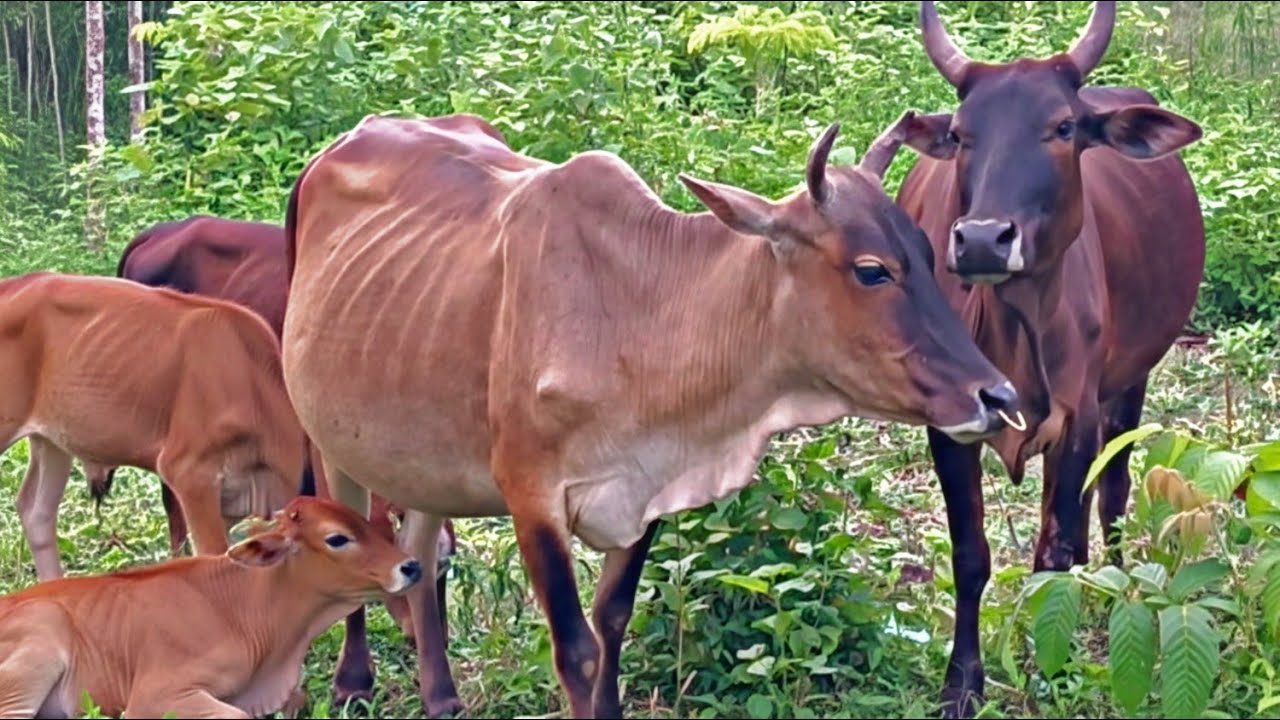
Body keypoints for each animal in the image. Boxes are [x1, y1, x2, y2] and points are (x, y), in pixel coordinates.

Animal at [278, 110, 1021, 718]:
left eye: (928, 253)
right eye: (871, 270)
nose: (998, 398)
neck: (637, 310)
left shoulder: (648, 490)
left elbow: (613, 622)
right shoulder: (531, 496)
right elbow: (577, 652)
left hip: (417, 451)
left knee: (422, 548)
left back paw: (441, 696)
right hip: (329, 436)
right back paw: (353, 682)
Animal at [890, 1, 1206, 716]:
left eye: (1063, 127)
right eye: (962, 134)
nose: (983, 239)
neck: (1014, 326)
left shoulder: (1079, 417)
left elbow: (1054, 554)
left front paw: (1048, 672)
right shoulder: (949, 426)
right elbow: (971, 553)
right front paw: (962, 683)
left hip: (1130, 382)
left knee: (1110, 494)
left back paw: (1113, 584)